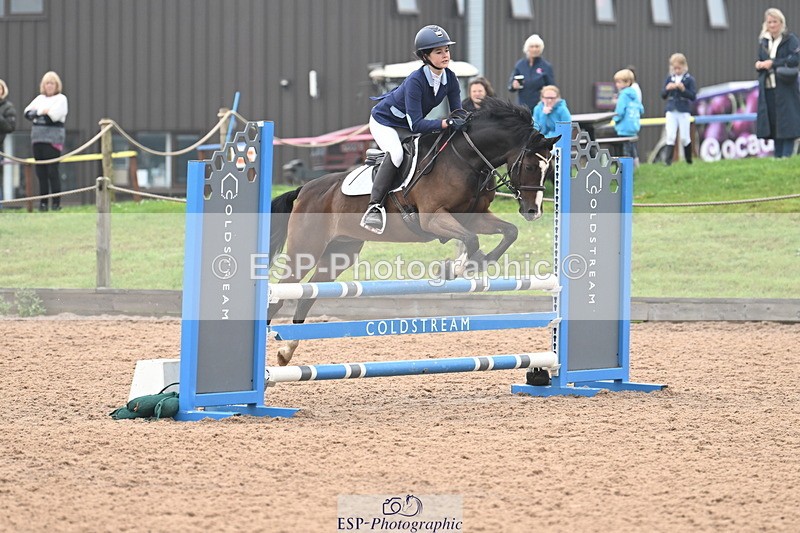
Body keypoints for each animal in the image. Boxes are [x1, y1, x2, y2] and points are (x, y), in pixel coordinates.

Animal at [268, 97, 560, 365]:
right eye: (530, 166)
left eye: (549, 167)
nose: (533, 211)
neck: (466, 160)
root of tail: (304, 190)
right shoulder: (432, 218)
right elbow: (471, 239)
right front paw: (458, 268)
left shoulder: (475, 217)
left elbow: (509, 232)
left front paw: (479, 263)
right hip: (306, 250)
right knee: (281, 294)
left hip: (340, 253)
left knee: (308, 296)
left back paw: (286, 351)